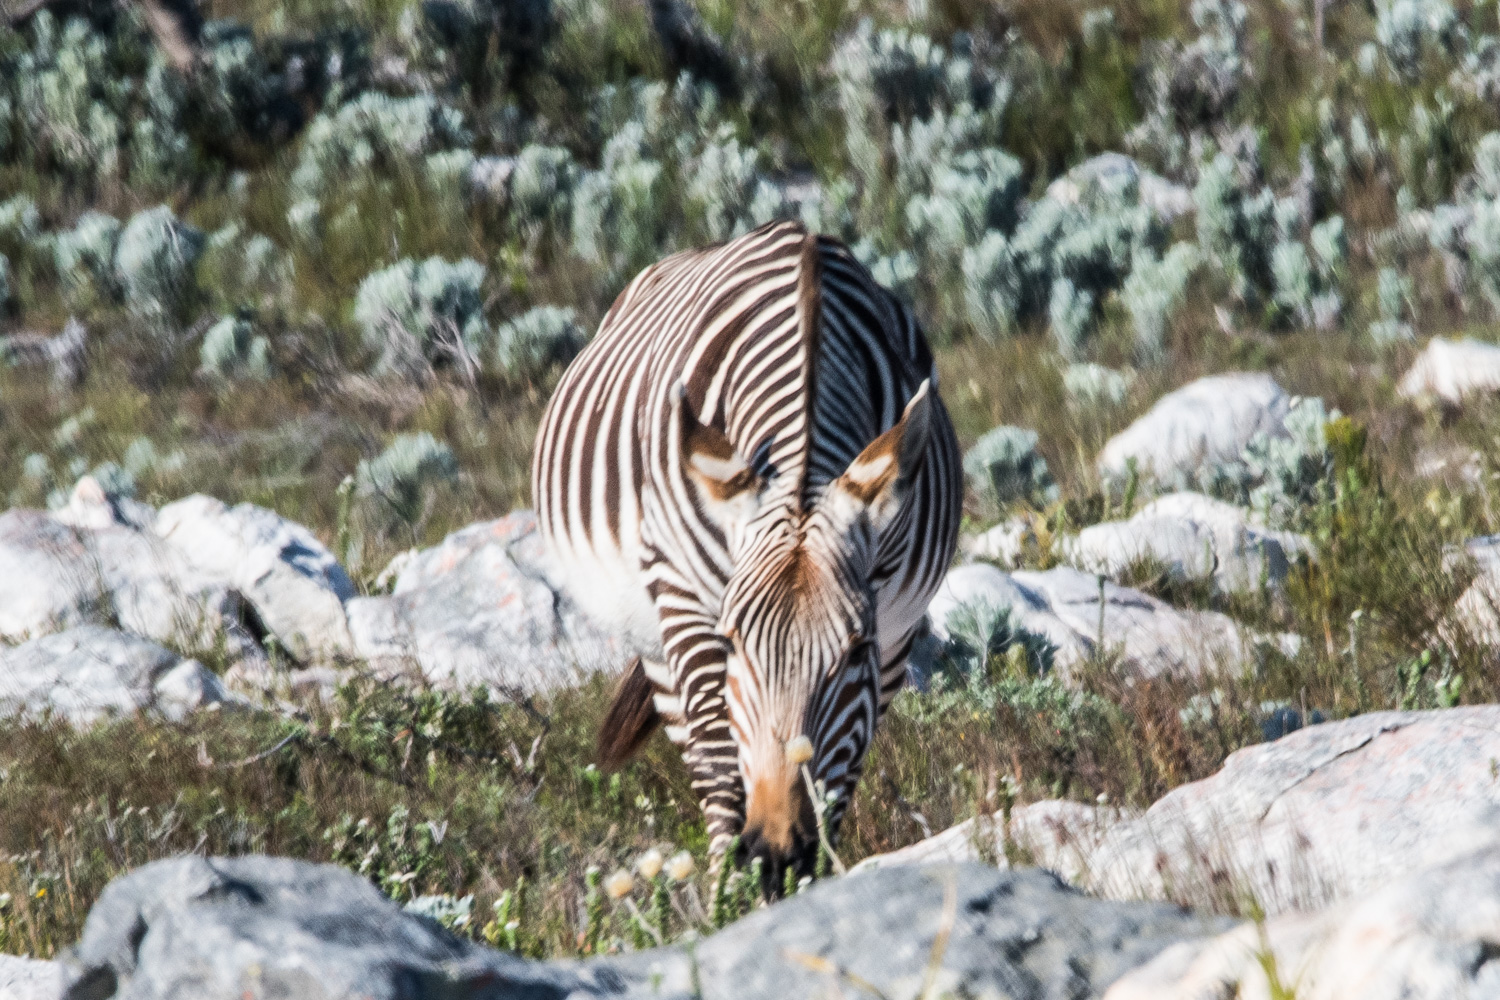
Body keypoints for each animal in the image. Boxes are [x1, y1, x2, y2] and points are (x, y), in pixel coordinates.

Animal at [537, 220, 960, 881]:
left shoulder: (894, 631)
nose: (778, 857)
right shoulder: (687, 602)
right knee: (705, 760)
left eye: (854, 649)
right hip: (655, 639)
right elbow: (720, 765)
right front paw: (731, 894)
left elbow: (840, 778)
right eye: (735, 642)